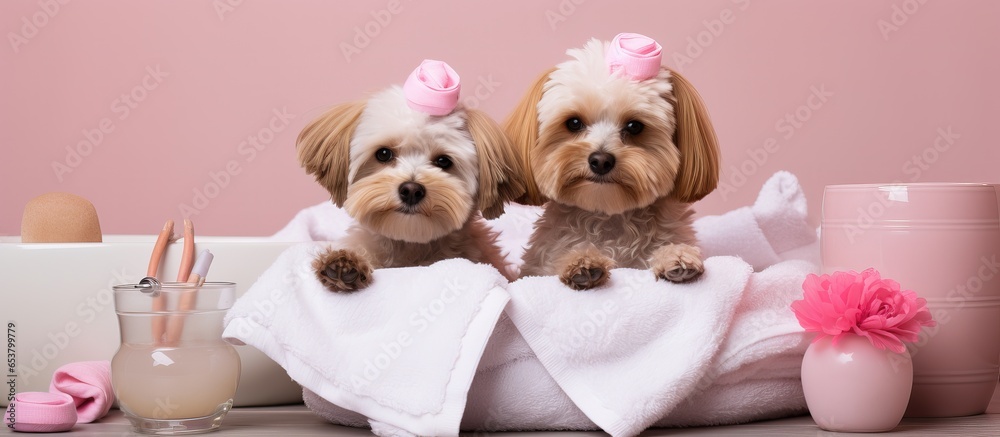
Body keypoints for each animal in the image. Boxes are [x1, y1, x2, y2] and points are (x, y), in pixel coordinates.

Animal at [508, 35, 720, 290]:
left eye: (634, 126)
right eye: (574, 123)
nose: (600, 161)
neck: (608, 215)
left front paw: (675, 255)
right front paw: (581, 261)